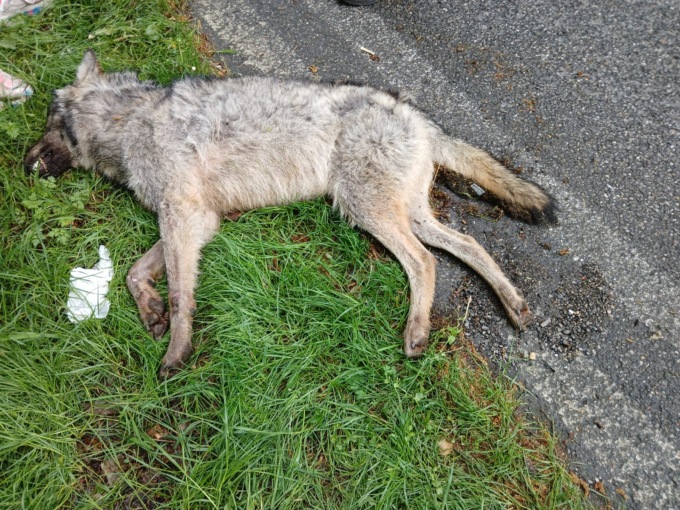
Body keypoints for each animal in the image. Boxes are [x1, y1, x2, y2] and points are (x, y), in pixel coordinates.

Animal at [25, 50, 556, 376]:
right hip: (406, 213)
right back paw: (513, 303)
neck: (130, 119)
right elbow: (135, 273)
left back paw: (417, 331)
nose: (22, 163)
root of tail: (419, 118)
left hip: (365, 209)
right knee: (468, 245)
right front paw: (150, 311)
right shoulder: (199, 220)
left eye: (47, 126)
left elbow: (180, 297)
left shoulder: (183, 217)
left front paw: (176, 348)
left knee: (425, 263)